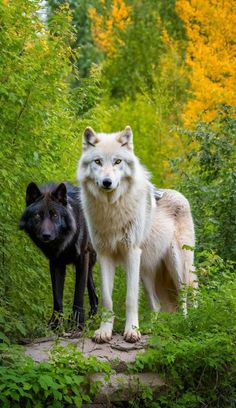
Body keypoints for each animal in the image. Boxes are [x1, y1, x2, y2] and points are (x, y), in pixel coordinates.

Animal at [19, 182, 98, 328]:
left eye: (55, 215)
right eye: (37, 216)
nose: (46, 235)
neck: (65, 242)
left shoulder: (82, 259)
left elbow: (78, 294)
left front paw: (77, 323)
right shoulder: (56, 263)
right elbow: (57, 297)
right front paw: (55, 324)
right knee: (94, 293)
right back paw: (93, 318)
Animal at [77, 126, 197, 342]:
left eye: (117, 161)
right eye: (98, 161)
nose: (107, 182)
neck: (112, 210)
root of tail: (181, 196)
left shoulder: (132, 252)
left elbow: (130, 298)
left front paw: (132, 331)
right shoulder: (104, 255)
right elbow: (106, 299)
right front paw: (104, 331)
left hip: (177, 264)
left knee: (184, 296)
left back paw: (183, 324)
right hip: (146, 272)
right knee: (156, 304)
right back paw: (152, 328)